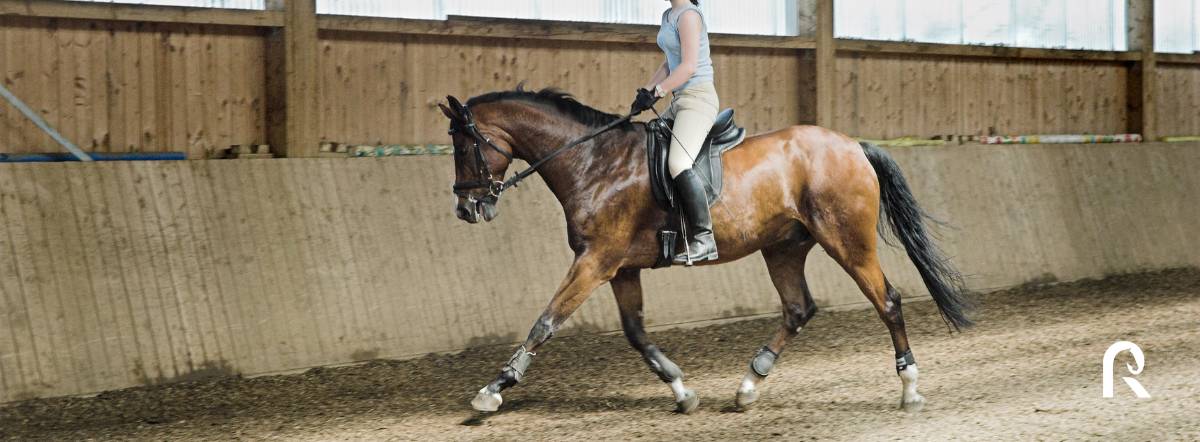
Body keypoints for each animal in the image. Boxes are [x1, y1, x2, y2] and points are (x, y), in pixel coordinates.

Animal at [437, 87, 973, 414]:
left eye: (464, 147)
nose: (466, 208)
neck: (593, 160)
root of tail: (853, 145)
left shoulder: (595, 261)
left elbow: (546, 321)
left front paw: (493, 390)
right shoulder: (619, 268)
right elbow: (636, 334)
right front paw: (682, 390)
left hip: (846, 240)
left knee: (888, 301)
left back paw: (909, 389)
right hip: (783, 247)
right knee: (798, 308)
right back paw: (748, 385)